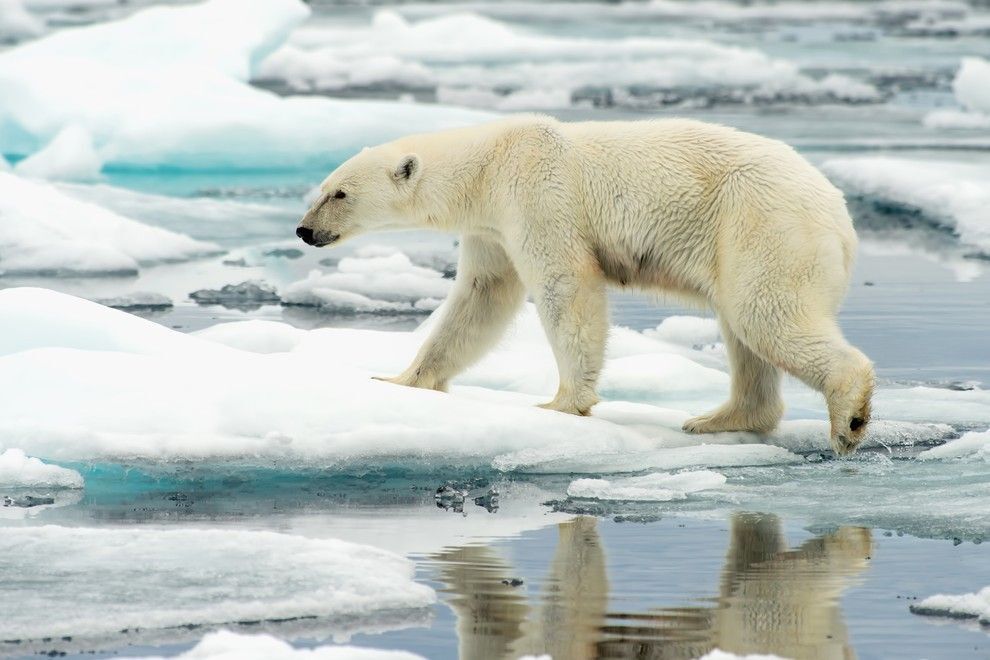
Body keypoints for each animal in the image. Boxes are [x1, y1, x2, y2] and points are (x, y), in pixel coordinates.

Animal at [296, 115, 875, 455]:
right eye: (321, 189)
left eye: (339, 193)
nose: (304, 231)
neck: (489, 161)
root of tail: (840, 215)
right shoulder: (491, 227)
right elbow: (482, 297)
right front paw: (402, 379)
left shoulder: (536, 193)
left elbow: (565, 285)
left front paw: (562, 403)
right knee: (743, 327)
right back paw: (718, 418)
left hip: (763, 223)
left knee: (765, 313)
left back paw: (849, 416)